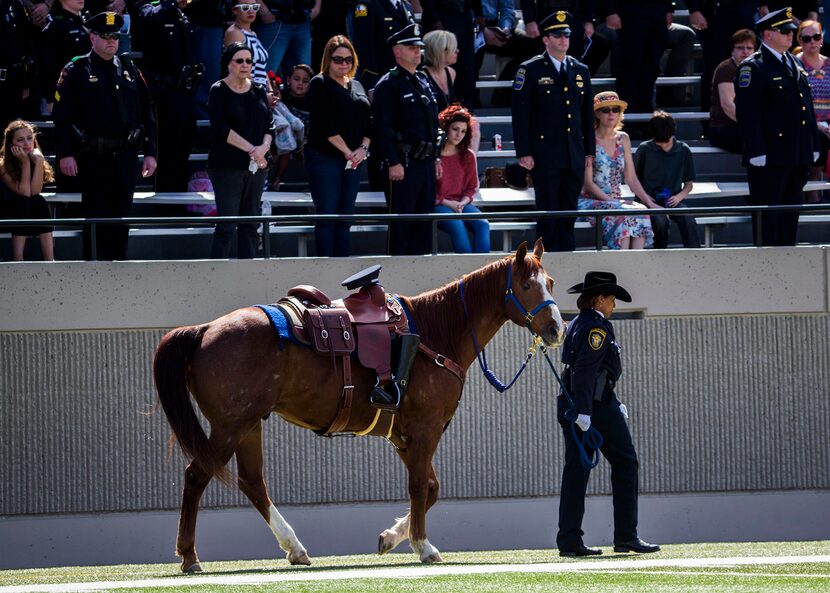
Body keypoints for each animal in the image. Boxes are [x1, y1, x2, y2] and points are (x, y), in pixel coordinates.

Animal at [154, 238, 564, 572]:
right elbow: (420, 487)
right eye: (526, 285)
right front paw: (423, 545)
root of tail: (205, 330)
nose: (557, 329)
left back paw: (295, 549)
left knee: (253, 483)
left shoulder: (404, 436)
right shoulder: (425, 428)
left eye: (551, 283)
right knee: (197, 475)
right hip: (230, 426)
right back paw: (189, 556)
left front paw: (391, 537)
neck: (433, 332)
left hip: (249, 424)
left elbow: (430, 488)